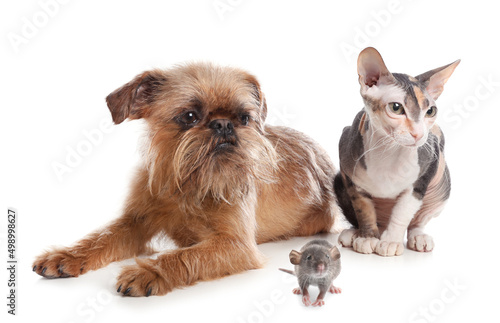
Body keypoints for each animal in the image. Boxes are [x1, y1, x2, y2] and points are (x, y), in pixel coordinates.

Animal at [32, 62, 340, 298]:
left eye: (244, 118)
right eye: (190, 116)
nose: (223, 124)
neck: (187, 183)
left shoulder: (235, 245)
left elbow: (185, 255)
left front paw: (150, 271)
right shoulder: (135, 221)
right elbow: (102, 236)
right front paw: (67, 256)